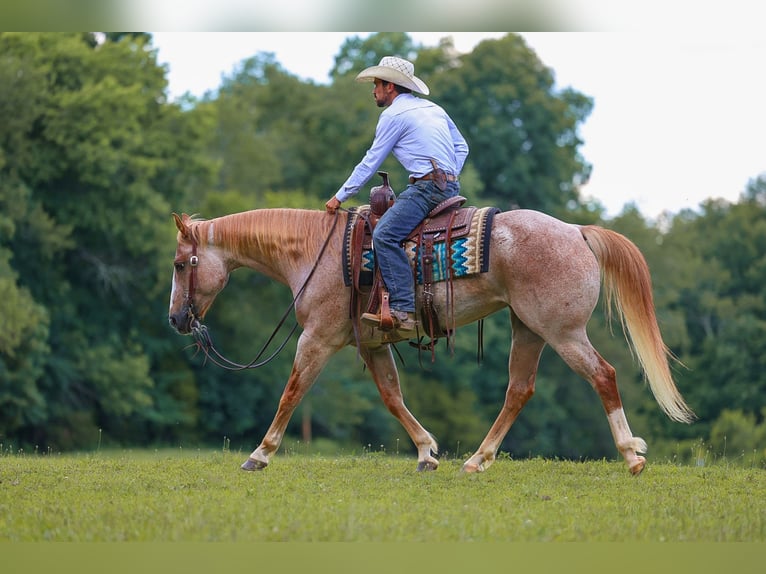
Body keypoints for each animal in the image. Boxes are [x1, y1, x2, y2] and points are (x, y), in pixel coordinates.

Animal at [168, 206, 695, 476]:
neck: (316, 251)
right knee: (519, 390)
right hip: (529, 329)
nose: (175, 318)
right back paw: (477, 460)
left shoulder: (316, 339)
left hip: (562, 332)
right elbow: (392, 397)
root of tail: (576, 231)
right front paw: (427, 452)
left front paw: (260, 453)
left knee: (602, 375)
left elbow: (291, 392)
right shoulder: (371, 344)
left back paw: (631, 455)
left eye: (178, 264)